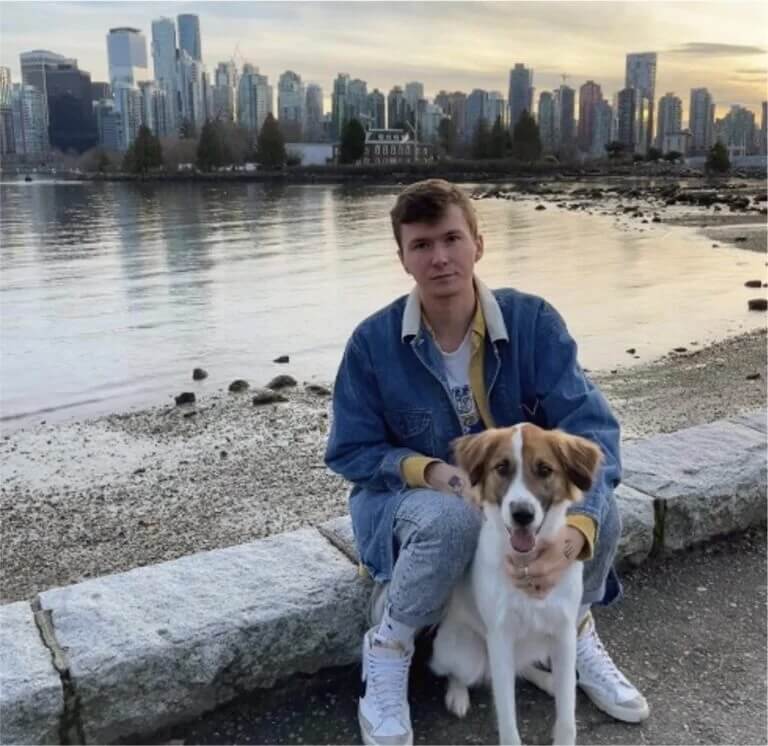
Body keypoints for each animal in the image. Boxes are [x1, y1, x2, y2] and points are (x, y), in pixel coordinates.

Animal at [428, 422, 604, 740]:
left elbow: (567, 714)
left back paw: (548, 681)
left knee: (525, 669)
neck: (526, 561)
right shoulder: (500, 639)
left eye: (545, 469)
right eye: (502, 468)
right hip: (467, 653)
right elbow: (507, 715)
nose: (522, 514)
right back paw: (457, 695)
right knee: (454, 673)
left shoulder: (564, 634)